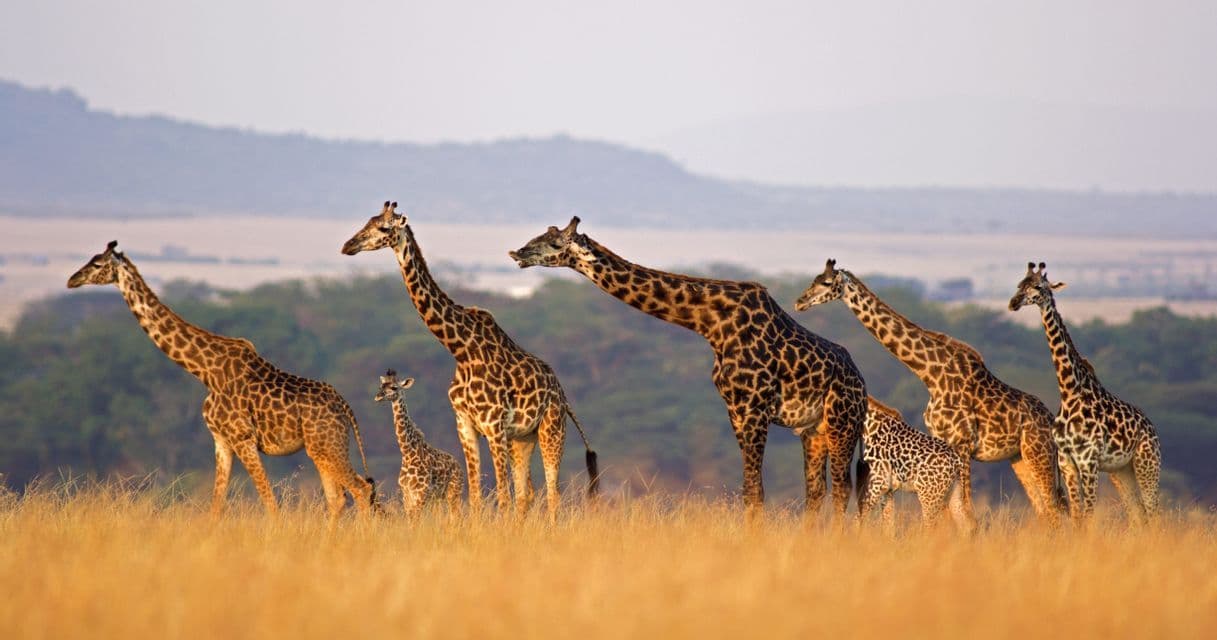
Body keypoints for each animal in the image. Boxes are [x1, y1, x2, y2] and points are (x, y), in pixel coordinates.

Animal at [67, 241, 377, 524]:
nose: (72, 280)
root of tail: (346, 407)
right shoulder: (221, 440)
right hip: (322, 448)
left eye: (97, 264)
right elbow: (216, 506)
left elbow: (270, 502)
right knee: (338, 499)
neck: (204, 371)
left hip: (326, 445)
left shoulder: (242, 437)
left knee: (361, 489)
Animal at [374, 369, 462, 517]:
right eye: (381, 386)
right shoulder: (406, 494)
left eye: (394, 387)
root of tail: (458, 464)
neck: (408, 453)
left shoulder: (421, 493)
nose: (378, 396)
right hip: (439, 497)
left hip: (454, 492)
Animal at [509, 217, 867, 520]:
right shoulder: (735, 410)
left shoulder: (754, 408)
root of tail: (862, 386)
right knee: (816, 491)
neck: (711, 323)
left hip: (842, 423)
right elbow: (749, 490)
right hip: (813, 431)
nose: (517, 252)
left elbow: (755, 491)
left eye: (555, 243)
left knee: (842, 488)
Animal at [828, 396, 974, 535]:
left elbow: (857, 521)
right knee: (967, 526)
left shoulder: (878, 483)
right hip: (953, 493)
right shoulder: (888, 490)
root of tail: (957, 461)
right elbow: (888, 526)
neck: (870, 428)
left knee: (933, 528)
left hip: (929, 496)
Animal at [1009, 262, 1161, 523]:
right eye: (1020, 284)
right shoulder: (1067, 462)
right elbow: (1078, 517)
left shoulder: (1088, 461)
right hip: (1122, 471)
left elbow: (1087, 516)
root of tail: (1152, 429)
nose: (1013, 303)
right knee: (1138, 514)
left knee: (1154, 513)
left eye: (1038, 287)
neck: (1070, 392)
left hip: (1147, 464)